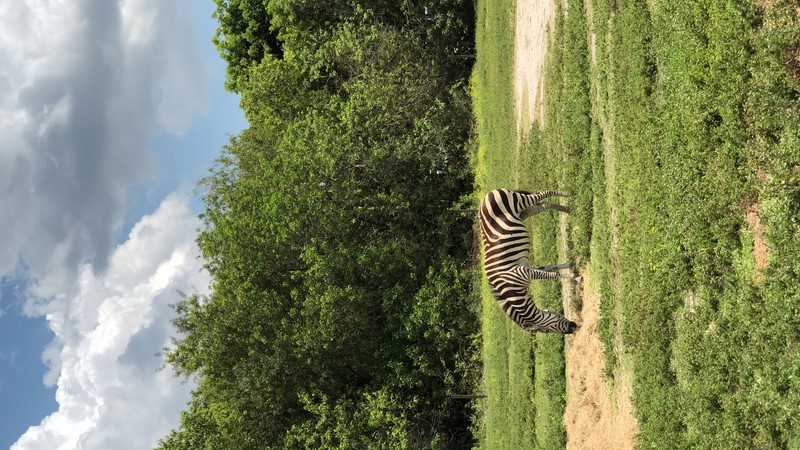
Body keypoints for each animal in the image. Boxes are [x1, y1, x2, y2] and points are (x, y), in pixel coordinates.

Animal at [478, 188, 580, 332]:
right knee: (544, 205)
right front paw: (569, 265)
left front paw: (576, 277)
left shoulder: (524, 272)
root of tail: (486, 196)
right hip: (523, 212)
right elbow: (550, 268)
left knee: (544, 193)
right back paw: (567, 210)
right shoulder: (527, 269)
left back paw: (566, 194)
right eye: (547, 331)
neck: (510, 287)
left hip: (520, 202)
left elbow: (552, 275)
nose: (573, 327)